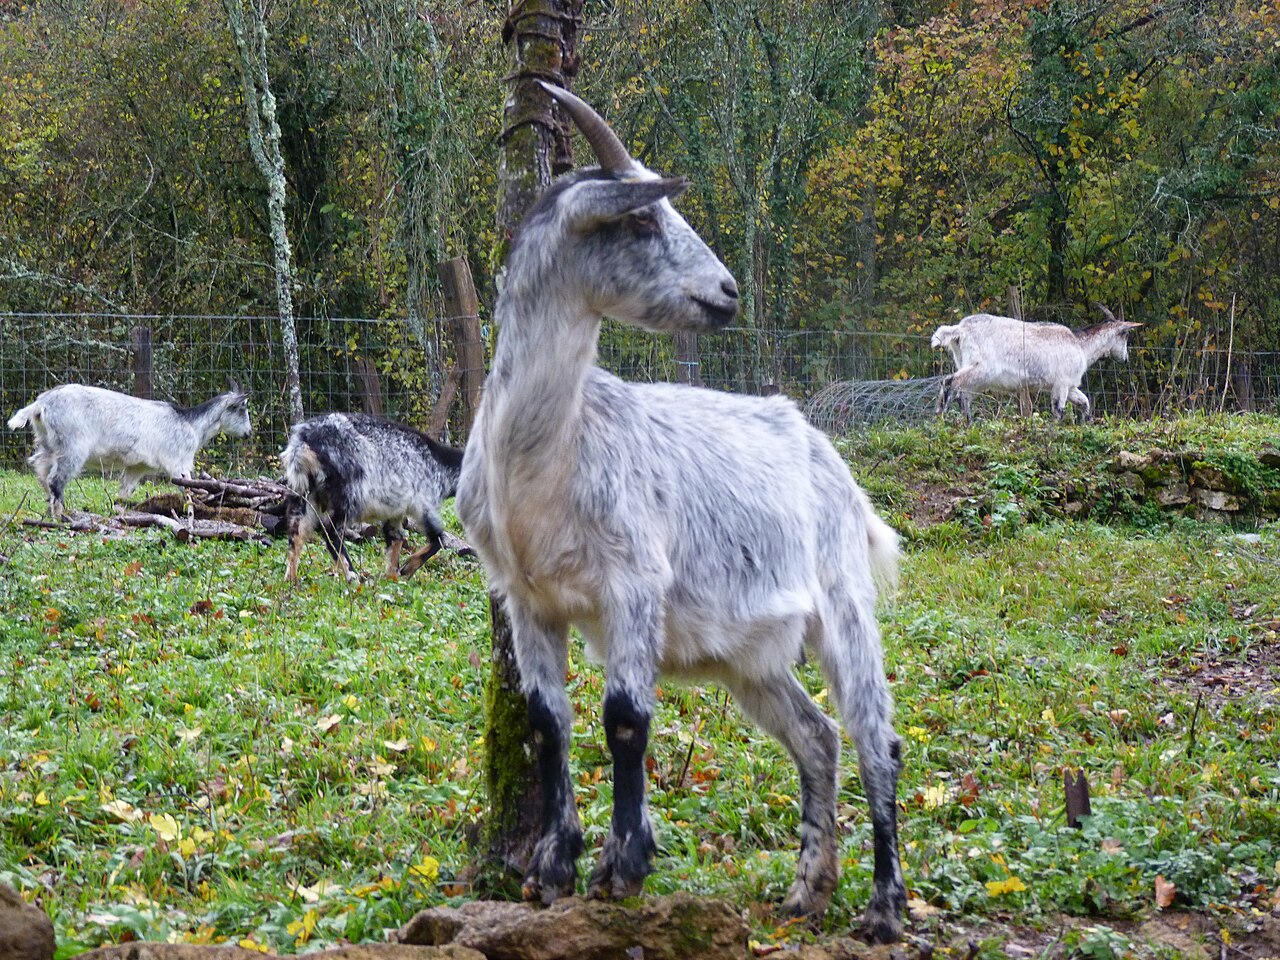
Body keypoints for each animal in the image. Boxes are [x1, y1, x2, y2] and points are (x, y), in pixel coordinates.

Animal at [7, 382, 251, 518]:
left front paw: (120, 514)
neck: (190, 424)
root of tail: (40, 404)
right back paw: (60, 515)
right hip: (73, 447)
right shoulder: (177, 463)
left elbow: (124, 493)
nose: (248, 433)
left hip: (49, 444)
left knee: (40, 467)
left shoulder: (136, 467)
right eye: (242, 409)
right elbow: (187, 490)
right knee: (56, 478)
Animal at [282, 413, 463, 582]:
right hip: (351, 493)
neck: (440, 464)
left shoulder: (396, 510)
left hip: (303, 490)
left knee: (296, 531)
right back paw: (352, 575)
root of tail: (304, 440)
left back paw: (291, 580)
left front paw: (393, 577)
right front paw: (407, 569)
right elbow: (438, 539)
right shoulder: (424, 503)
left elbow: (396, 537)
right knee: (331, 530)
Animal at [455, 84, 906, 943]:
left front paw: (621, 867)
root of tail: (825, 453)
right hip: (751, 654)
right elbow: (548, 720)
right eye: (640, 221)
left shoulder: (633, 581)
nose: (727, 292)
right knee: (817, 735)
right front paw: (549, 869)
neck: (544, 460)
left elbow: (624, 717)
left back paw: (885, 910)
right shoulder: (524, 597)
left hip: (843, 598)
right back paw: (808, 890)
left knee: (878, 737)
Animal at [932, 304, 1141, 421]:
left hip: (970, 369)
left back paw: (967, 423)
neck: (1080, 345)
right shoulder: (1062, 383)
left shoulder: (1071, 386)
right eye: (1126, 334)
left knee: (964, 394)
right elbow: (1058, 410)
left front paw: (1086, 424)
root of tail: (960, 329)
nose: (1125, 358)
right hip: (981, 368)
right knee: (950, 382)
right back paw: (941, 418)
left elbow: (1085, 403)